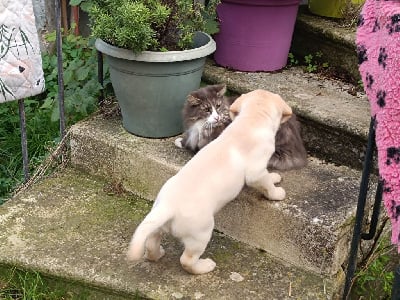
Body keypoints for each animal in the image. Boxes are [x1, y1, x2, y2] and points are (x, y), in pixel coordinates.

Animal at [126, 89, 292, 274]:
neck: (251, 120)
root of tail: (167, 207)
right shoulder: (256, 172)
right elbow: (266, 184)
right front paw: (277, 193)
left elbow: (268, 177)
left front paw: (274, 177)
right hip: (201, 233)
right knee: (186, 260)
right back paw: (204, 266)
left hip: (158, 224)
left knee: (151, 241)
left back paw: (157, 254)